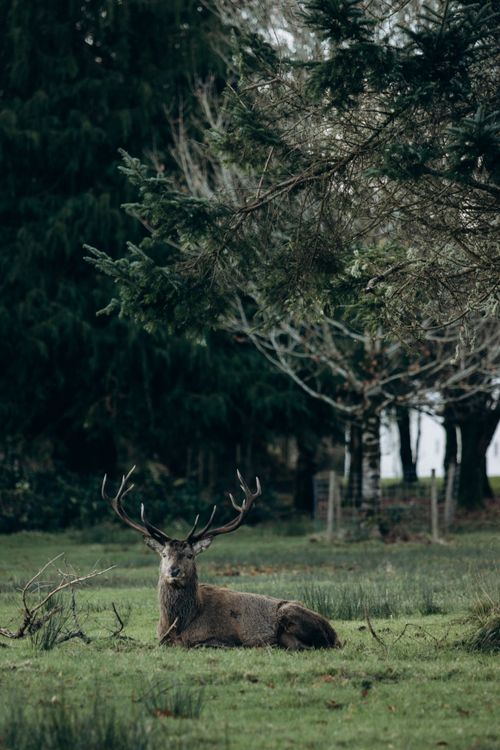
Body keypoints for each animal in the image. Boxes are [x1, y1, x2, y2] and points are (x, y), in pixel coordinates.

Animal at [102, 467, 341, 650]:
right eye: (164, 554)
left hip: (290, 614)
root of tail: (335, 635)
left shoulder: (223, 637)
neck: (180, 624)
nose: (173, 571)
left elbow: (203, 644)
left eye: (189, 555)